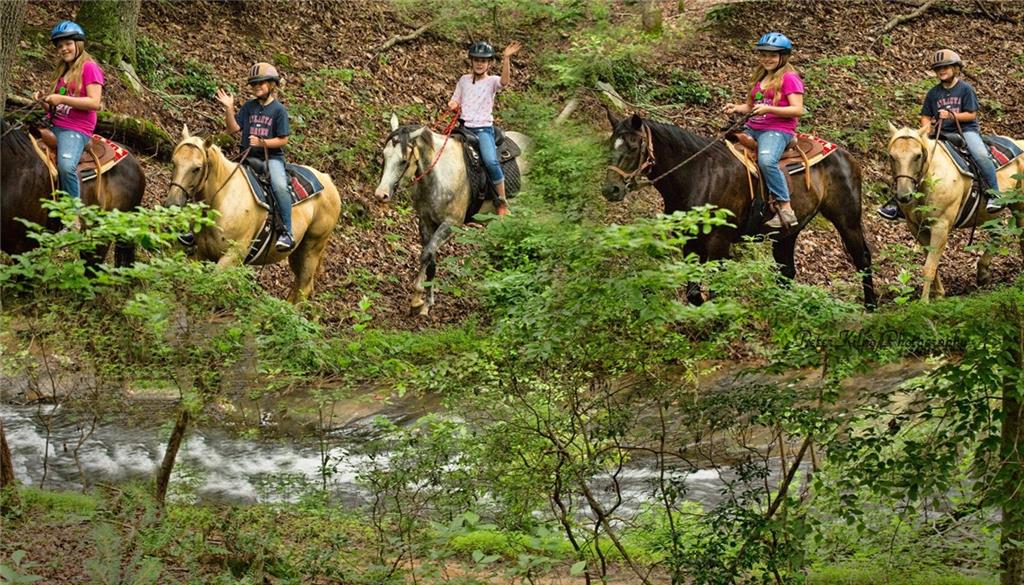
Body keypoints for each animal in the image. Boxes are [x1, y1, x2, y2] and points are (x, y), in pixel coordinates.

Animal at [165, 126, 342, 305]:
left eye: (196, 168)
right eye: (174, 162)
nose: (172, 203)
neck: (223, 199)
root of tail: (328, 181)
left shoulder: (230, 258)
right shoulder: (202, 253)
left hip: (312, 248)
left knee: (304, 288)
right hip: (297, 253)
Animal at [378, 112, 536, 317]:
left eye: (403, 161)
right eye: (384, 155)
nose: (381, 194)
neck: (440, 176)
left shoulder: (451, 224)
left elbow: (426, 254)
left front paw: (417, 299)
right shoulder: (425, 221)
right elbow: (430, 258)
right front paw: (425, 303)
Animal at [602, 111, 876, 309]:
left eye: (633, 147)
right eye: (609, 146)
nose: (610, 189)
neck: (698, 175)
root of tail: (845, 154)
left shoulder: (719, 242)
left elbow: (717, 287)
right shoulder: (689, 241)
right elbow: (693, 292)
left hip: (847, 220)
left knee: (861, 259)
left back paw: (870, 306)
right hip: (787, 232)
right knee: (787, 270)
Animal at [884, 121, 1019, 299]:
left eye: (917, 156)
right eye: (892, 156)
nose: (904, 196)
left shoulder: (940, 227)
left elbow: (929, 267)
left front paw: (924, 302)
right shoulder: (916, 227)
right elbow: (930, 262)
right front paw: (939, 294)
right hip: (987, 216)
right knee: (998, 233)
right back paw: (982, 274)